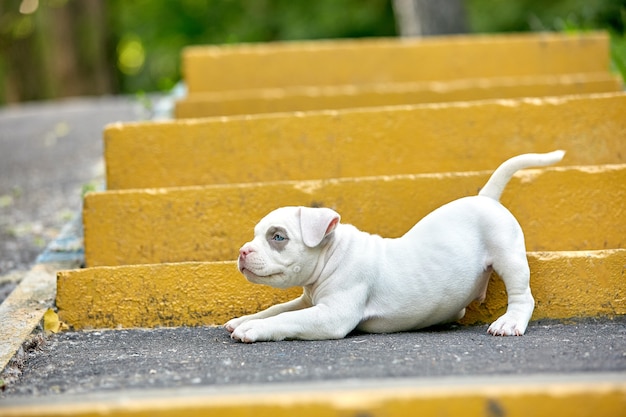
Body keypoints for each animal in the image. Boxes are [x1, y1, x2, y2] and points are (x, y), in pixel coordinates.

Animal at [225, 150, 564, 342]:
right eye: (255, 235)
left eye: (278, 237)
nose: (242, 252)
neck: (333, 254)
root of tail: (486, 197)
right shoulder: (308, 301)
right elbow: (278, 308)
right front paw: (245, 320)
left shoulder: (332, 315)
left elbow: (287, 318)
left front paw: (253, 329)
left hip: (508, 254)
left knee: (521, 294)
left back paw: (509, 322)